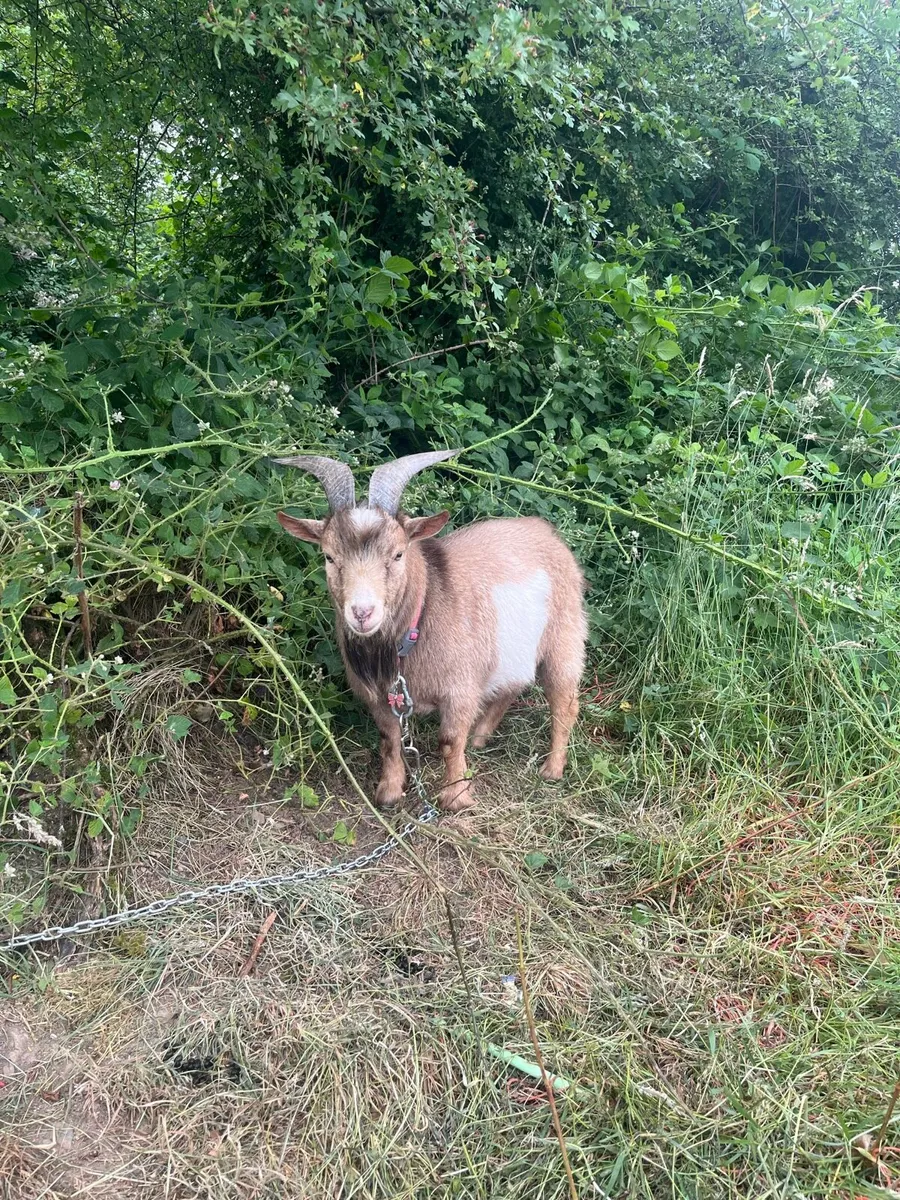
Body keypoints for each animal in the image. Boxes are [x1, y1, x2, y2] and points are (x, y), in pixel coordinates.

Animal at [275, 450, 587, 811]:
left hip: (564, 635)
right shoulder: (381, 698)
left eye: (398, 553)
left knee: (564, 702)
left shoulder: (460, 688)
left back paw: (552, 769)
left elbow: (449, 741)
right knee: (514, 684)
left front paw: (456, 796)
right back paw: (480, 736)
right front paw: (389, 792)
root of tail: (545, 531)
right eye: (328, 556)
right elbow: (390, 740)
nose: (363, 613)